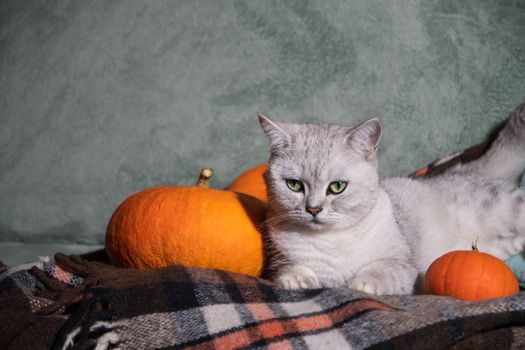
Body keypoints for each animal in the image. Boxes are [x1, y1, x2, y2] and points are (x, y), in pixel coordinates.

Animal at [260, 104, 524, 296]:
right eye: (294, 185)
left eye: (337, 187)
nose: (313, 209)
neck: (333, 239)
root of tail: (459, 171)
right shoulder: (281, 260)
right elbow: (286, 270)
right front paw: (298, 278)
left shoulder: (402, 262)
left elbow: (384, 270)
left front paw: (361, 283)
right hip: (485, 248)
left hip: (502, 207)